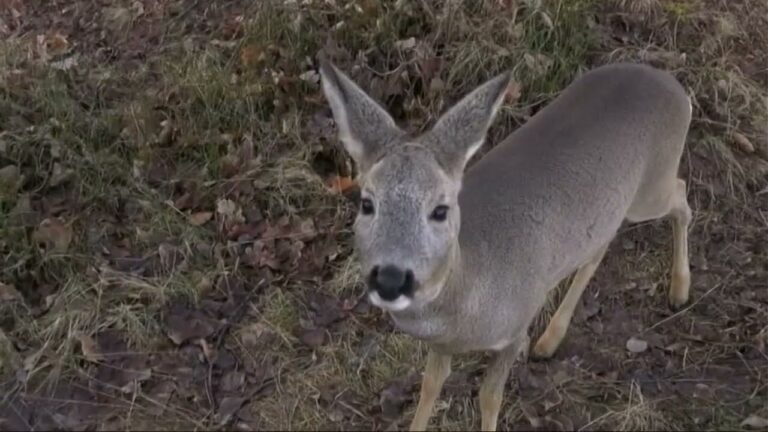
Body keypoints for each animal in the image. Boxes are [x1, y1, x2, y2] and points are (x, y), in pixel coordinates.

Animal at [320, 58, 696, 432]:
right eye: (367, 203)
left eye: (440, 209)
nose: (390, 279)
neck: (468, 301)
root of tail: (672, 84)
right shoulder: (442, 343)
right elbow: (430, 386)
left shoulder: (515, 329)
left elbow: (489, 397)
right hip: (610, 208)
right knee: (600, 246)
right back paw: (550, 339)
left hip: (651, 189)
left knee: (681, 194)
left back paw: (679, 290)